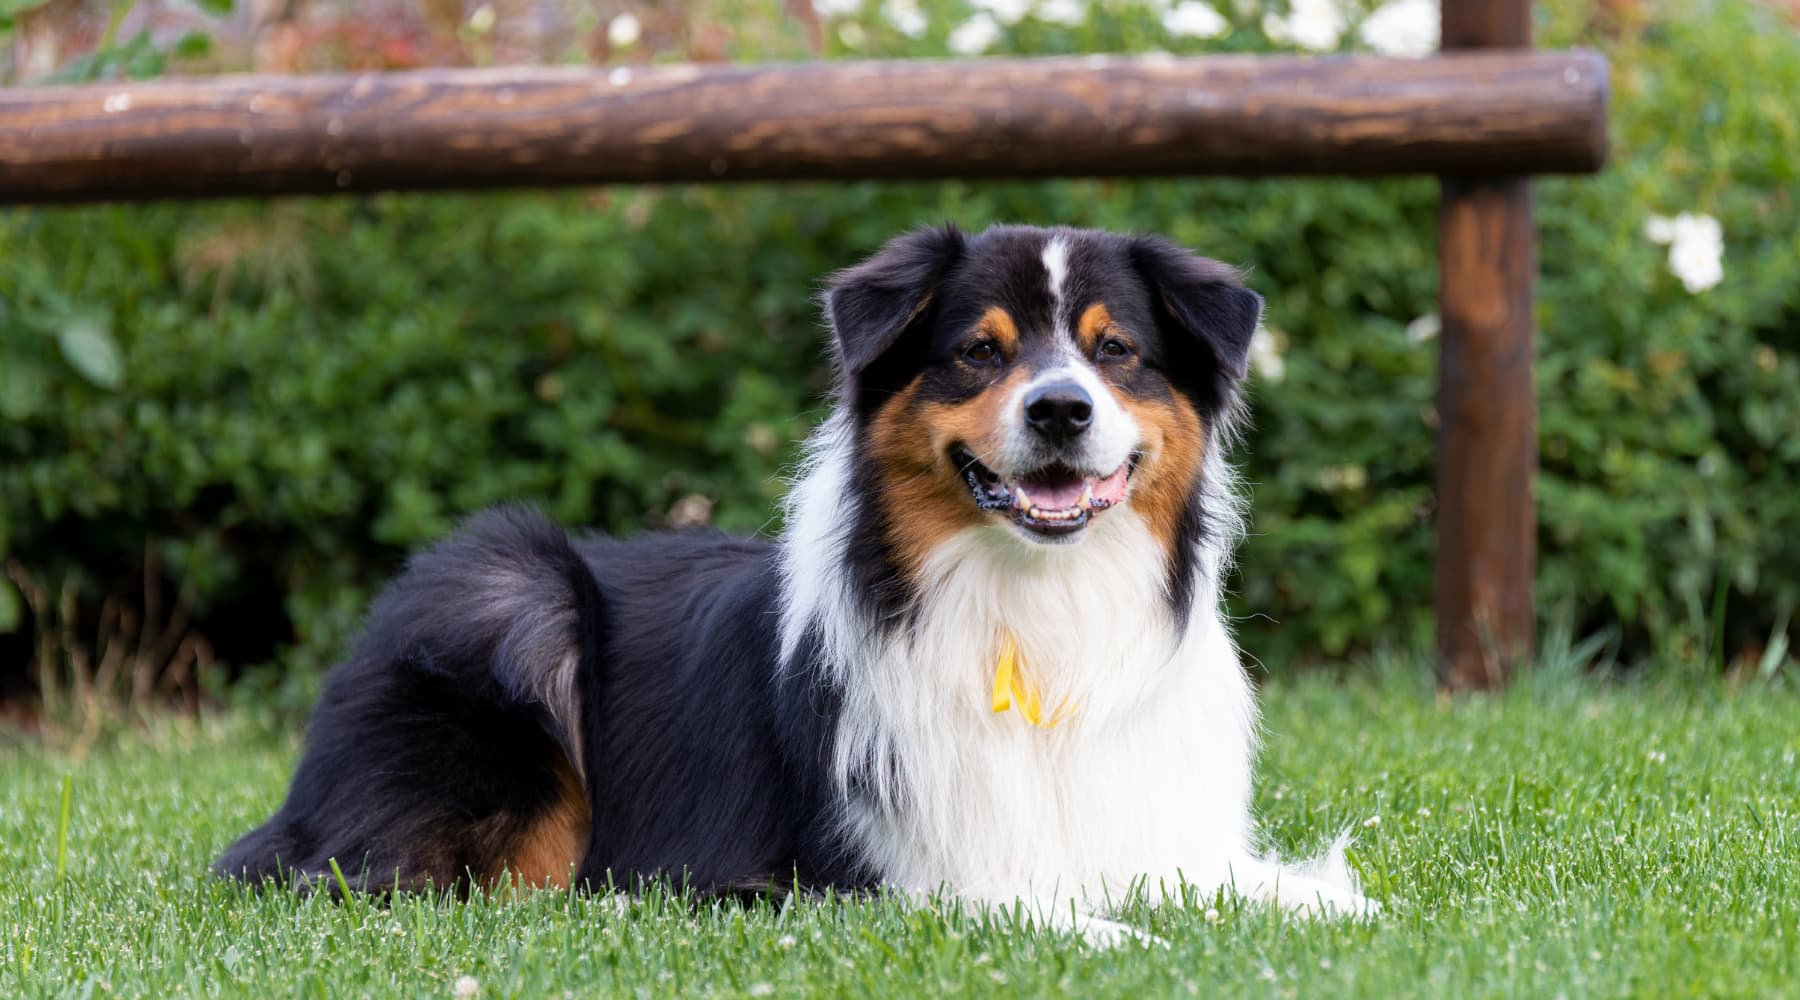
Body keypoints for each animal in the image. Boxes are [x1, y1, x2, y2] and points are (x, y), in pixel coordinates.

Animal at [225, 223, 1375, 942]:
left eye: (1118, 349)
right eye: (978, 351)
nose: (1060, 409)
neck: (1036, 606)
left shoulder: (1169, 836)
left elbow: (1303, 893)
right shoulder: (868, 870)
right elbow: (1017, 903)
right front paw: (1117, 935)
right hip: (509, 590)